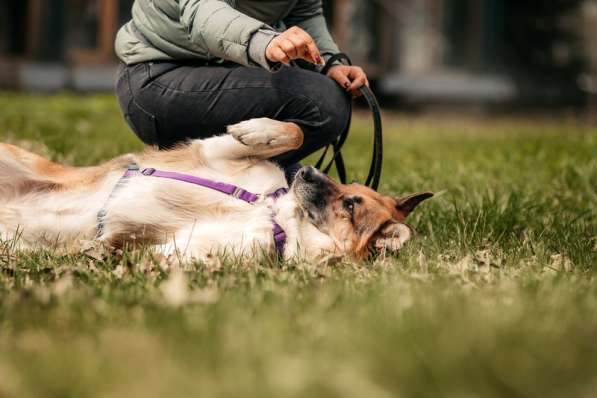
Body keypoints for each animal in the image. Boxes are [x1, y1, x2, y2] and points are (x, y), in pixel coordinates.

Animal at [0, 117, 430, 262]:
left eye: (352, 205)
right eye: (348, 185)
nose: (306, 171)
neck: (273, 214)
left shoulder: (187, 250)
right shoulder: (215, 153)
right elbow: (290, 131)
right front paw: (255, 130)